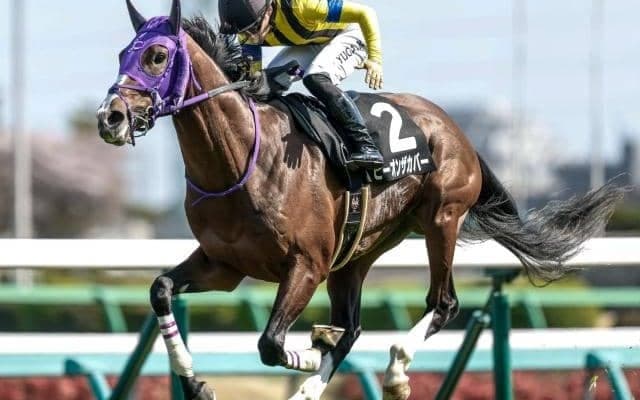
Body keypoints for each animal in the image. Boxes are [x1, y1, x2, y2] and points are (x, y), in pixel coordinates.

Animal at [96, 1, 625, 399]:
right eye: (122, 53)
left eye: (157, 56)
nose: (110, 117)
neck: (241, 159)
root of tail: (457, 130)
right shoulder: (223, 265)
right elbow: (160, 289)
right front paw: (196, 383)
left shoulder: (306, 264)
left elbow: (271, 343)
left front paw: (311, 346)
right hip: (358, 251)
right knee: (351, 327)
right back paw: (315, 382)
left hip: (441, 217)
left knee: (443, 302)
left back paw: (394, 371)